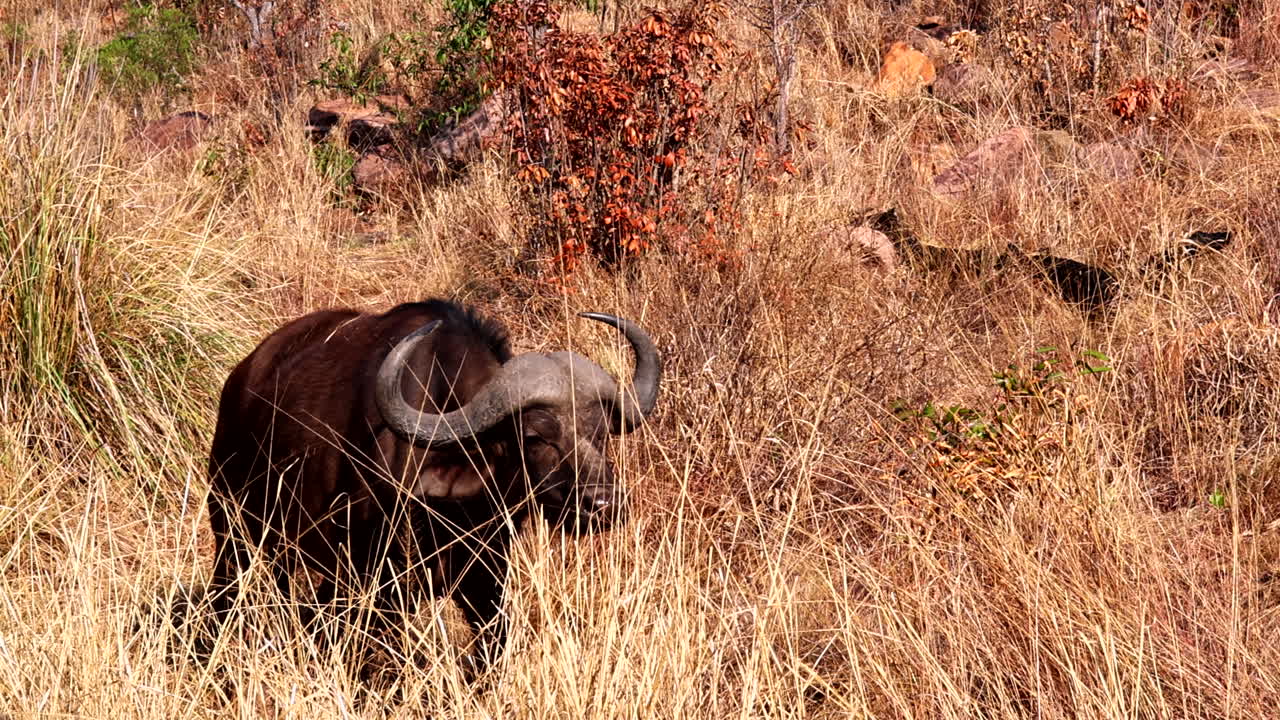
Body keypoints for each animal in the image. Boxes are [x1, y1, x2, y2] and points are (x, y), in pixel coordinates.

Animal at [205, 298, 660, 670]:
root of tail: (241, 380)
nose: (602, 504)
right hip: (231, 531)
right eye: (534, 436)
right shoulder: (372, 582)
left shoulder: (485, 578)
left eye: (601, 433)